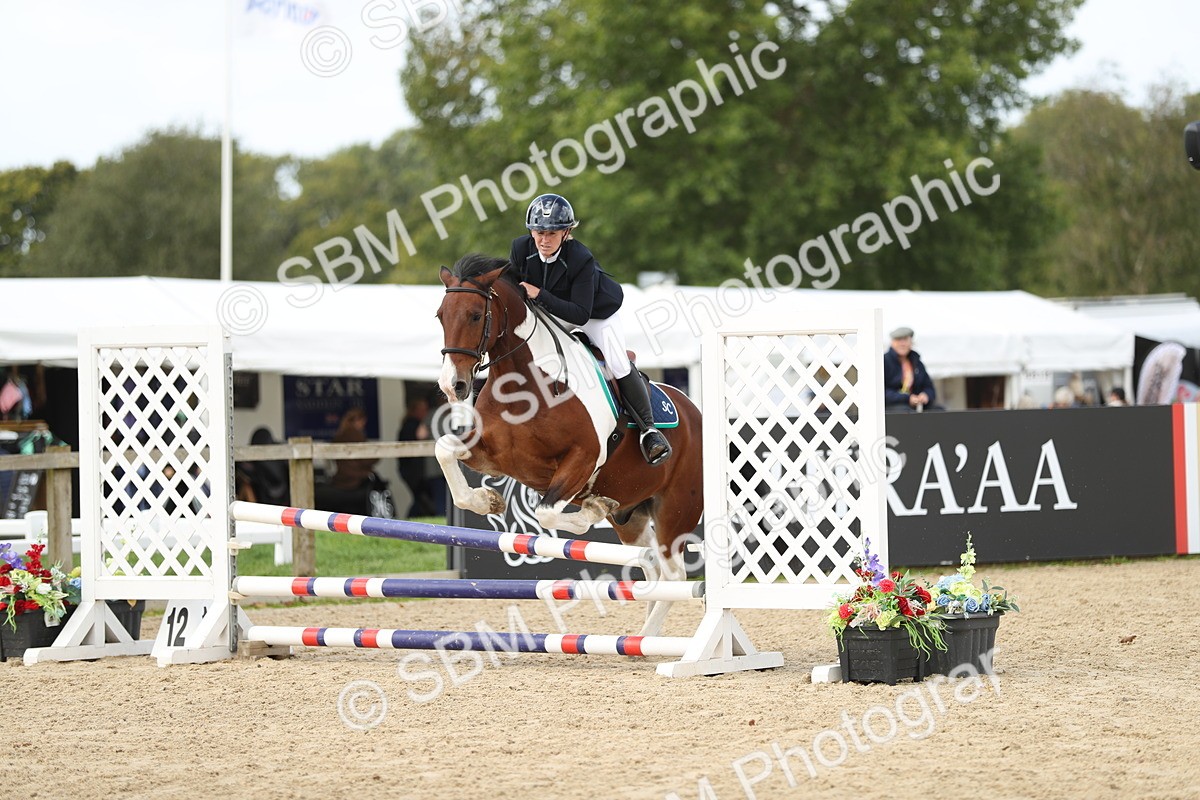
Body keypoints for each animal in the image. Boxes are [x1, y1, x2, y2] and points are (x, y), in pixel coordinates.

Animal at [435, 253, 703, 636]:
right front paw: (487, 500)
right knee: (650, 564)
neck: (525, 384)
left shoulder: (583, 458)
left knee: (674, 575)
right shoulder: (496, 456)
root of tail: (695, 411)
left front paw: (593, 508)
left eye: (474, 315)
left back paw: (647, 640)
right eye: (440, 315)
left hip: (676, 510)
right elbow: (445, 451)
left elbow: (546, 512)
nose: (452, 385)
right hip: (633, 516)